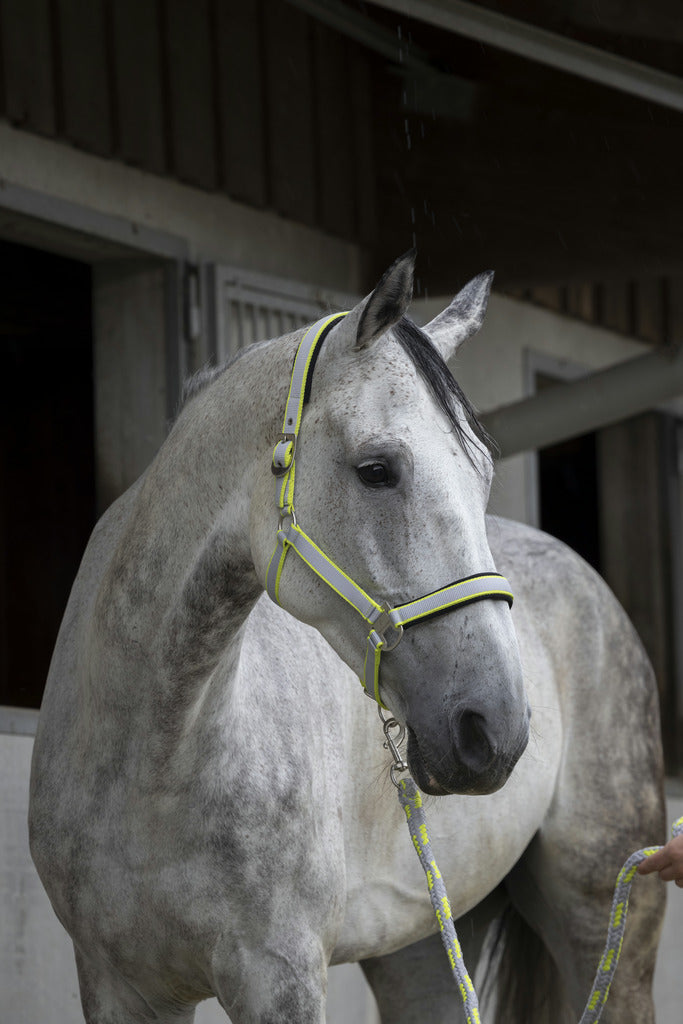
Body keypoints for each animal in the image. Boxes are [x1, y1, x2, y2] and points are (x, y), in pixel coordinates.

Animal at [29, 253, 663, 1024]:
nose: (499, 730)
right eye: (376, 470)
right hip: (424, 942)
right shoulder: (119, 986)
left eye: (482, 475)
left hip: (608, 909)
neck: (151, 756)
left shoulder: (280, 977)